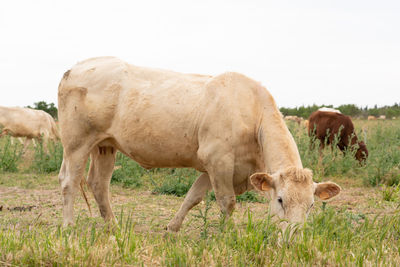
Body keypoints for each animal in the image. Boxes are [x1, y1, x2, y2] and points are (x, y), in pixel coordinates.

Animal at [58, 57, 340, 232]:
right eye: (280, 200)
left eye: (311, 205)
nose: (293, 237)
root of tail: (76, 68)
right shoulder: (219, 159)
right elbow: (227, 202)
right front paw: (226, 234)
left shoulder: (214, 167)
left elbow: (193, 196)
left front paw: (173, 227)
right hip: (76, 142)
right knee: (69, 180)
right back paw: (68, 226)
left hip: (105, 145)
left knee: (99, 184)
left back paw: (113, 226)